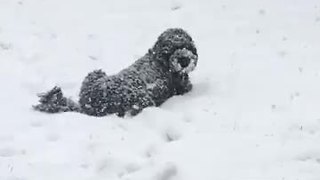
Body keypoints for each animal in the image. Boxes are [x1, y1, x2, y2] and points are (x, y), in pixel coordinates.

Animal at [33, 27, 198, 116]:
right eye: (169, 49)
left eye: (187, 46)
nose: (184, 60)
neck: (160, 60)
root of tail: (90, 103)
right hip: (143, 100)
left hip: (95, 73)